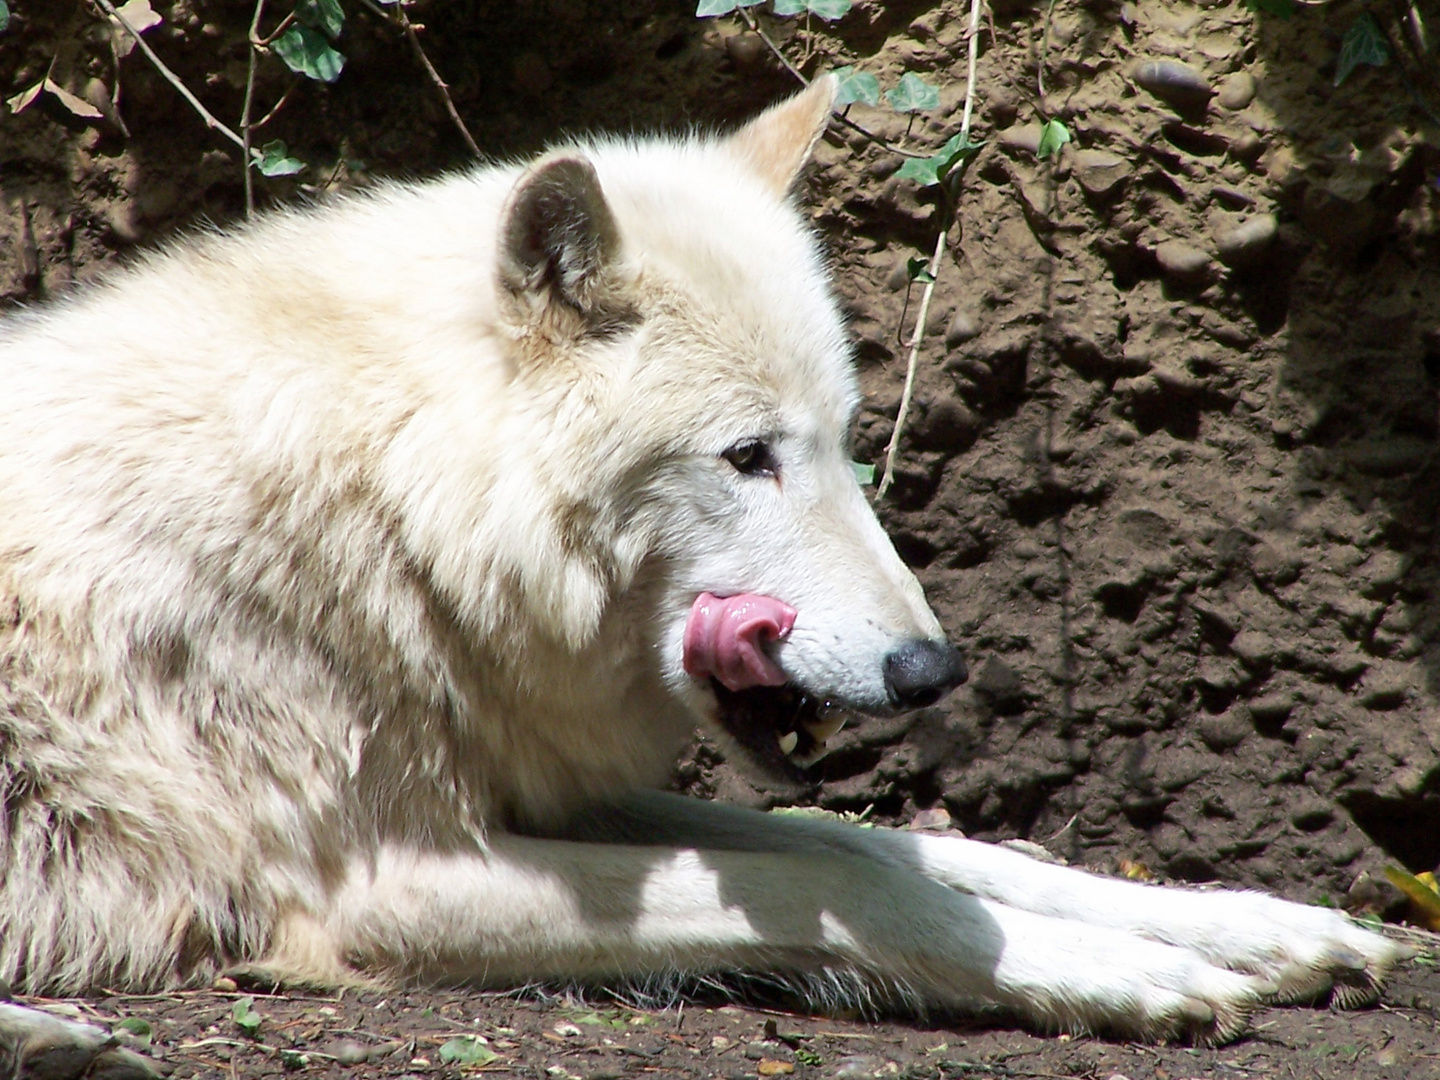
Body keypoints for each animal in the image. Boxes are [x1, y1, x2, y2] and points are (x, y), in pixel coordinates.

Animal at [0, 76, 1399, 1077]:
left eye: (840, 439)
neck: (393, 504)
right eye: (747, 456)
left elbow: (899, 843)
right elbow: (837, 879)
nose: (930, 669)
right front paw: (1128, 977)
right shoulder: (373, 883)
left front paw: (1261, 928)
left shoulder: (540, 783)